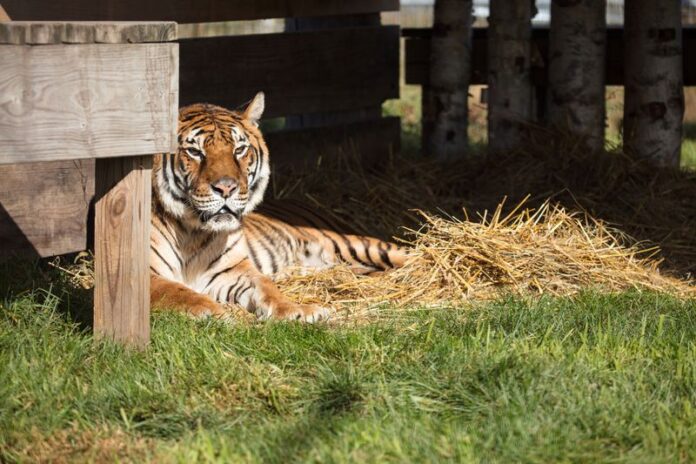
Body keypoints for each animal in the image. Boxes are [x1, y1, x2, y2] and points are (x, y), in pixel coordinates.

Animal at [150, 92, 406, 320]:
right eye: (195, 152)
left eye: (239, 150)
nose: (226, 188)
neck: (192, 232)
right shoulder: (146, 275)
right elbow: (177, 292)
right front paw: (215, 312)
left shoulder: (233, 269)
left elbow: (267, 287)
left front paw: (297, 311)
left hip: (354, 245)